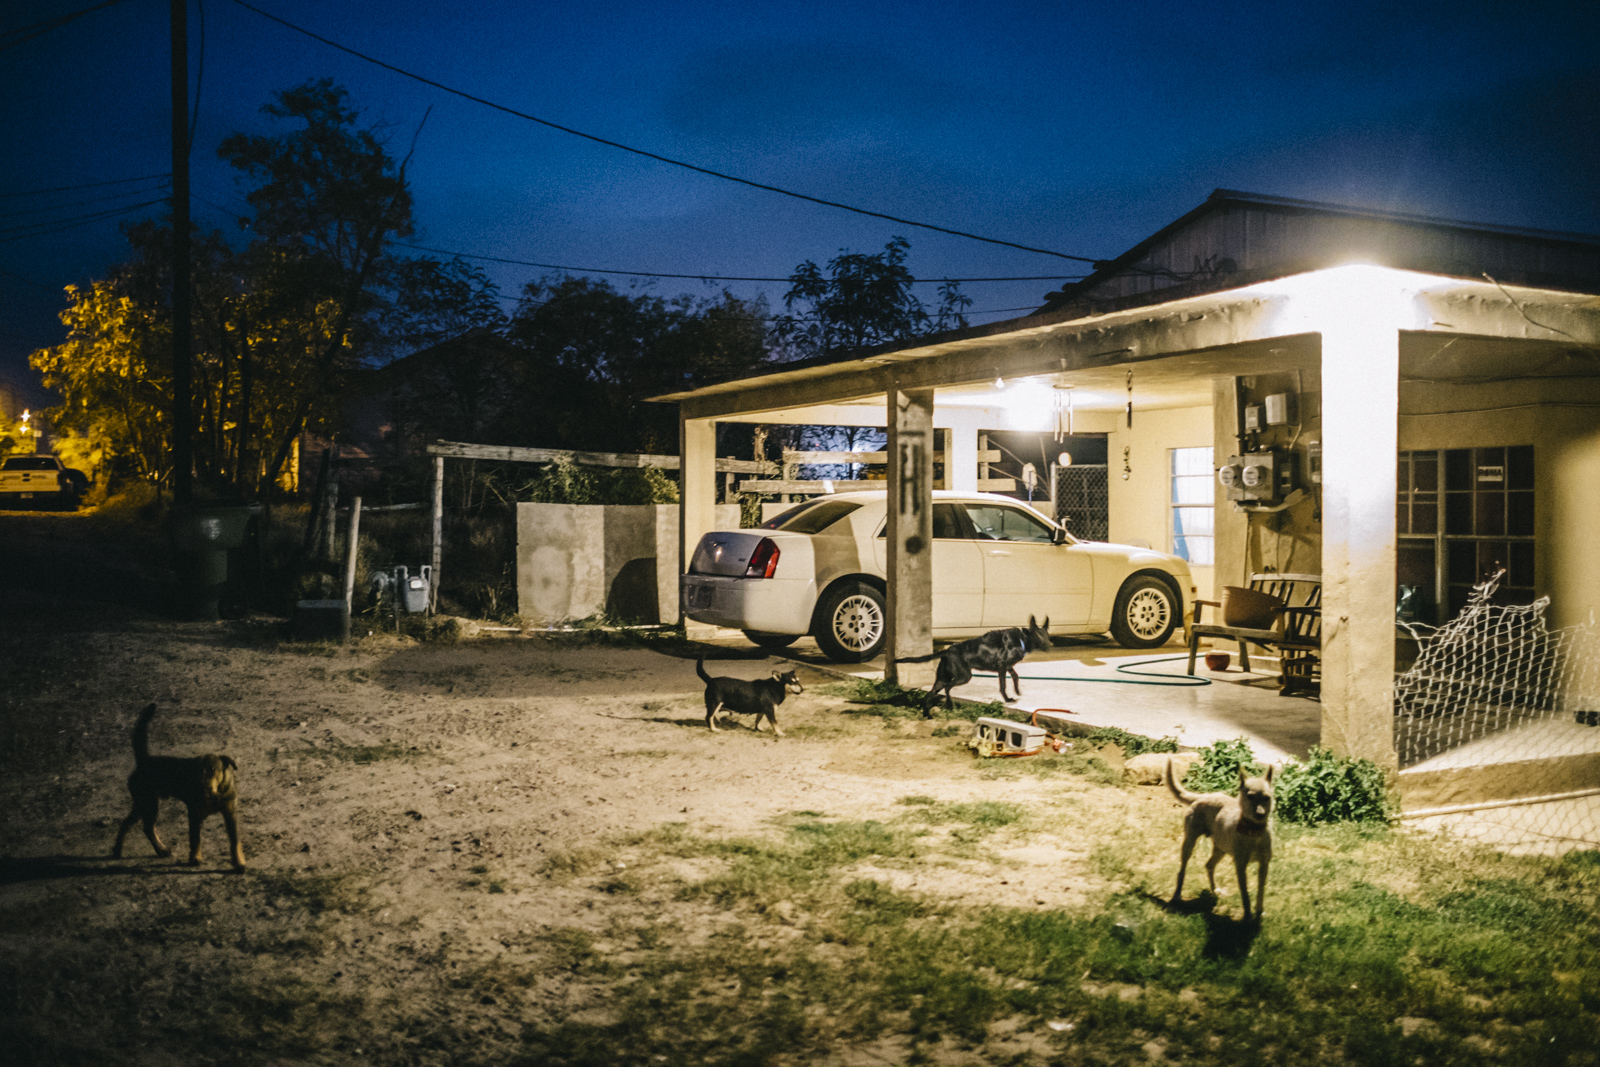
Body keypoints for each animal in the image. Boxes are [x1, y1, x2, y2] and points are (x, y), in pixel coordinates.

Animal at [896, 617, 1056, 716]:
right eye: (1039, 636)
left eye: (1047, 635)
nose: (1050, 646)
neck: (1022, 639)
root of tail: (948, 651)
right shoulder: (1002, 667)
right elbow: (1003, 685)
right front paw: (1007, 699)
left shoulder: (1008, 667)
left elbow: (1016, 676)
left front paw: (1017, 691)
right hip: (964, 676)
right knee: (947, 688)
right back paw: (949, 704)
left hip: (942, 678)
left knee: (929, 694)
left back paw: (927, 715)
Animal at [1164, 758, 1273, 921]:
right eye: (1250, 796)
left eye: (1267, 798)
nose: (1260, 814)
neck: (1254, 832)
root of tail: (1203, 796)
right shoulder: (1240, 866)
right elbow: (1245, 895)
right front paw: (1247, 916)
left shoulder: (1264, 865)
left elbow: (1261, 891)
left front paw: (1259, 912)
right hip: (1189, 844)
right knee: (1182, 871)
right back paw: (1177, 895)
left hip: (1221, 850)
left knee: (1209, 865)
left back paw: (1215, 890)